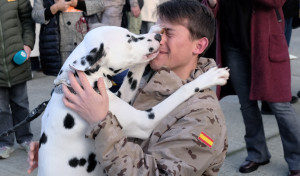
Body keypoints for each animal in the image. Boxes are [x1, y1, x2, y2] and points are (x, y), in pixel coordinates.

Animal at [37, 25, 230, 175]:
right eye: (129, 39)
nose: (158, 36)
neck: (76, 83)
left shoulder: (122, 95)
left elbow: (135, 72)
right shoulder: (144, 122)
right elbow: (183, 90)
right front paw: (209, 77)